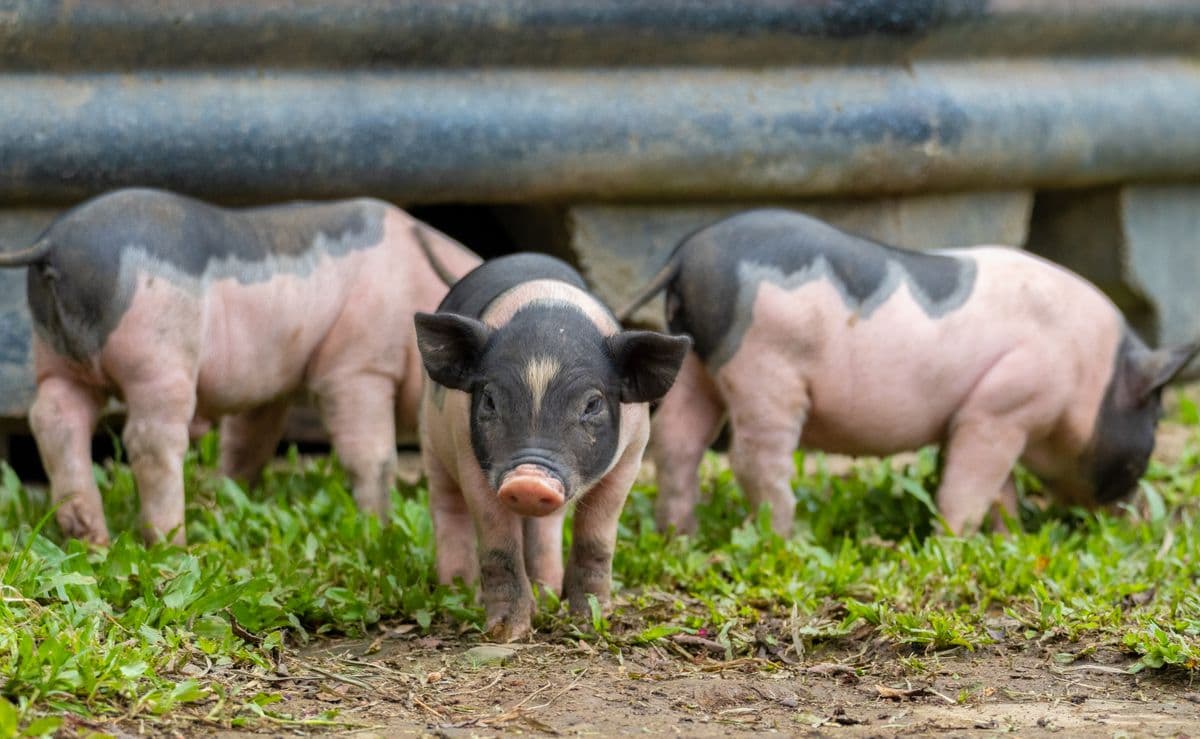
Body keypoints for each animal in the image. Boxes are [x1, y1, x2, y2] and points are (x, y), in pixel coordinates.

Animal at [0, 187, 480, 545]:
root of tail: (54, 245)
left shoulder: (272, 386)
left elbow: (249, 442)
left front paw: (229, 494)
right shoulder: (356, 365)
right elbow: (372, 455)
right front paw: (378, 524)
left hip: (57, 357)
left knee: (55, 418)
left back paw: (90, 539)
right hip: (159, 358)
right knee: (149, 438)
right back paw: (172, 543)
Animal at [414, 253, 690, 641]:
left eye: (592, 404)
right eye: (490, 400)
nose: (529, 480)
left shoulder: (632, 455)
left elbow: (596, 541)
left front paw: (591, 621)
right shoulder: (468, 456)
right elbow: (498, 548)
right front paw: (507, 633)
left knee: (547, 530)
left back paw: (546, 595)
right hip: (430, 441)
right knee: (447, 509)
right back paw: (459, 590)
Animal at [616, 209, 1199, 537]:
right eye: (1154, 419)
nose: (1137, 515)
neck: (1090, 375)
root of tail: (687, 256)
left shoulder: (994, 415)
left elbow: (1000, 488)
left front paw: (1010, 538)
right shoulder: (1002, 406)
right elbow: (969, 484)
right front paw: (954, 543)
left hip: (697, 364)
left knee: (677, 442)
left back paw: (680, 537)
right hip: (762, 367)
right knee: (753, 459)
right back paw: (790, 539)